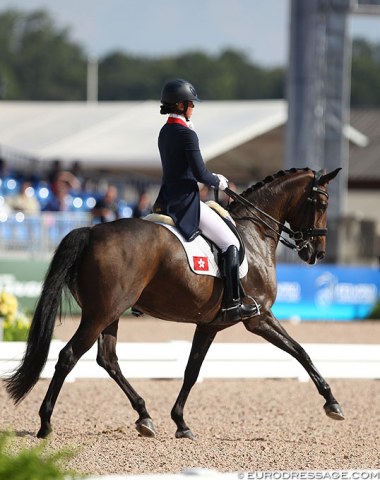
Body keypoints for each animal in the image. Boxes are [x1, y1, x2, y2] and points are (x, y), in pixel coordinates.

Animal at [4, 168, 344, 438]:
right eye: (322, 203)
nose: (316, 252)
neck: (254, 233)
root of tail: (91, 230)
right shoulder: (257, 317)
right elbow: (300, 351)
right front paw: (332, 403)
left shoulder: (209, 325)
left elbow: (192, 370)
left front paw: (180, 422)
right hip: (99, 314)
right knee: (68, 356)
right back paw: (45, 423)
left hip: (109, 313)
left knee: (108, 359)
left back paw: (144, 417)